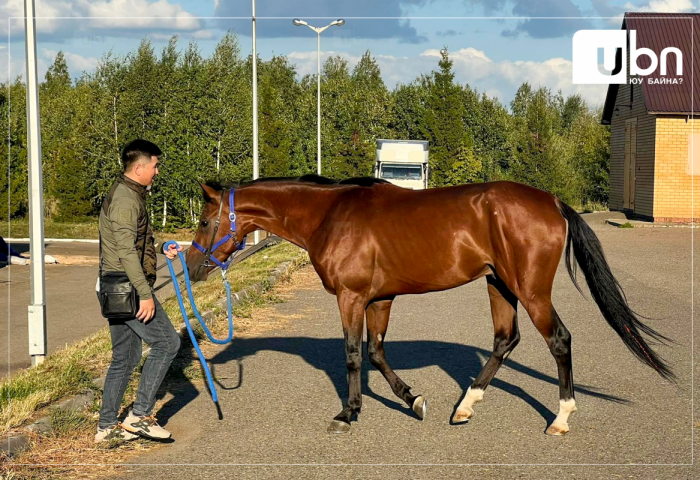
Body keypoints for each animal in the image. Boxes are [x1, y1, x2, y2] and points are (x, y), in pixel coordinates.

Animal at [186, 175, 672, 436]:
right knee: (504, 340)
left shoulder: (352, 297)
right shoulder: (379, 298)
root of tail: (551, 201)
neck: (331, 215)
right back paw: (465, 407)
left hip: (530, 290)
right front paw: (414, 400)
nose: (192, 267)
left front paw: (348, 413)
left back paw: (561, 418)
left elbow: (352, 354)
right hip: (499, 285)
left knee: (559, 340)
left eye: (206, 220)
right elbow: (376, 352)